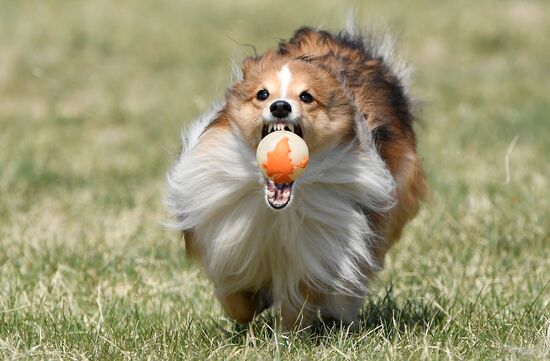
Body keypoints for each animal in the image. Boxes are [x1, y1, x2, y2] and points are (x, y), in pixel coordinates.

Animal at [166, 26, 430, 330]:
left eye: (306, 97)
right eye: (262, 94)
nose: (280, 106)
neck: (279, 211)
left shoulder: (320, 248)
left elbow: (301, 298)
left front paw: (288, 332)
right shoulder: (229, 237)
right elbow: (234, 296)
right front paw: (247, 308)